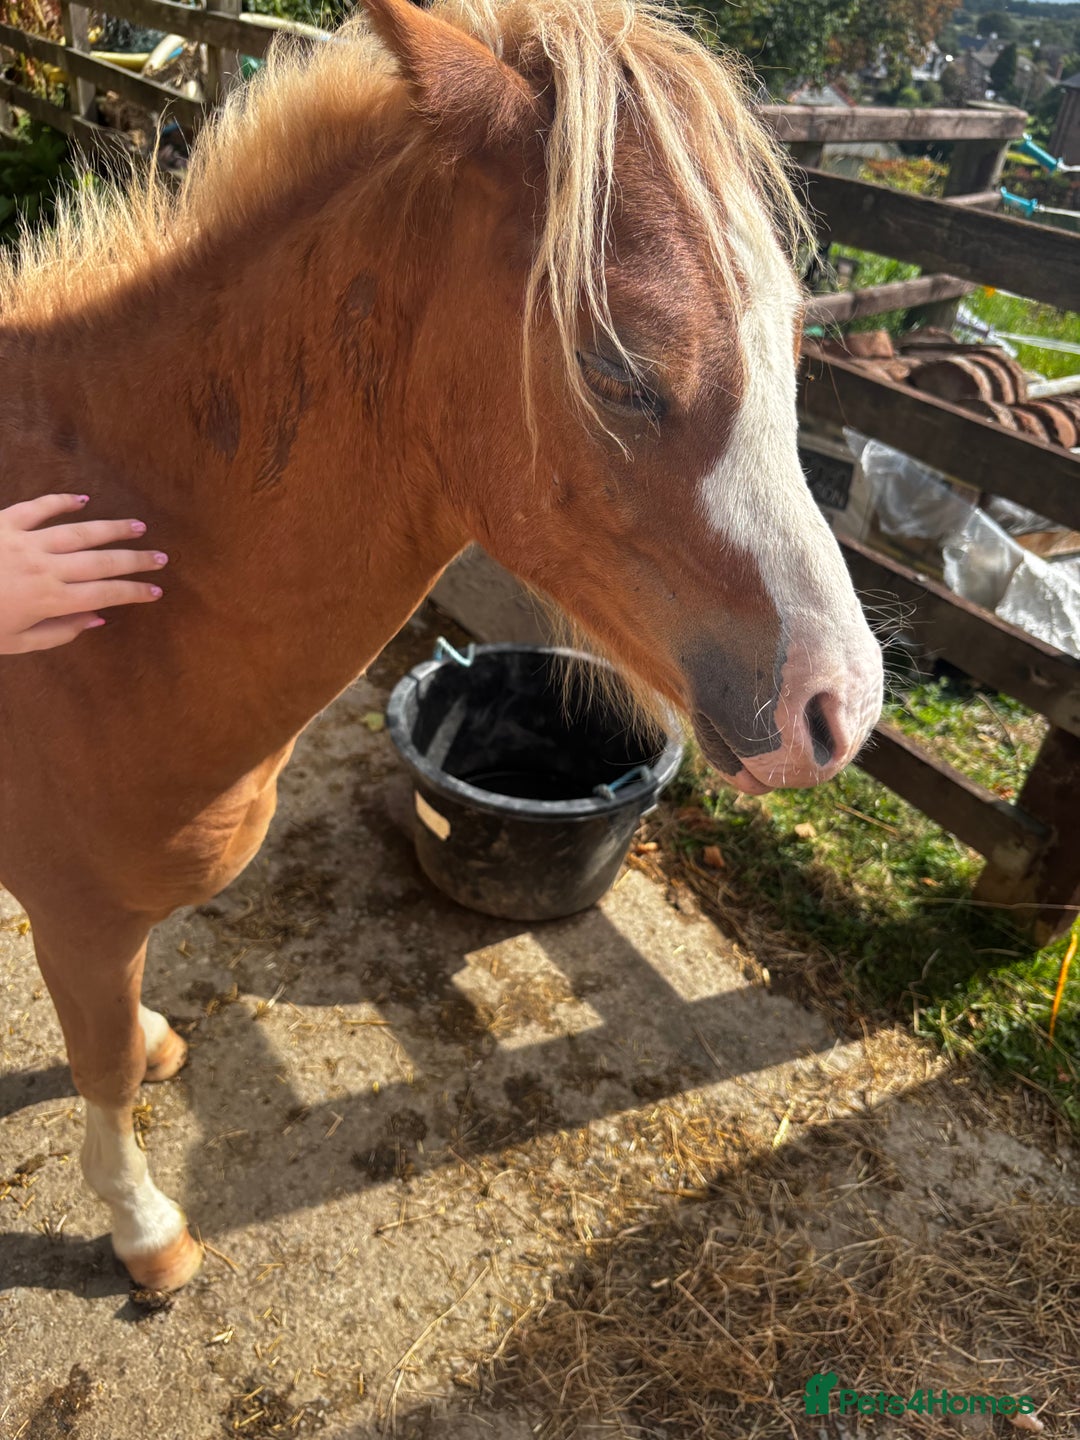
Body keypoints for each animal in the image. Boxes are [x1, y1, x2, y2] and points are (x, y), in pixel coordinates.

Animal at [0, 0, 883, 1292]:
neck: (134, 578)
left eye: (794, 338)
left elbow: (119, 1027)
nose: (840, 709)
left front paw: (156, 1042)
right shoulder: (75, 908)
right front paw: (144, 1228)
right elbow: (101, 1069)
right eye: (619, 368)